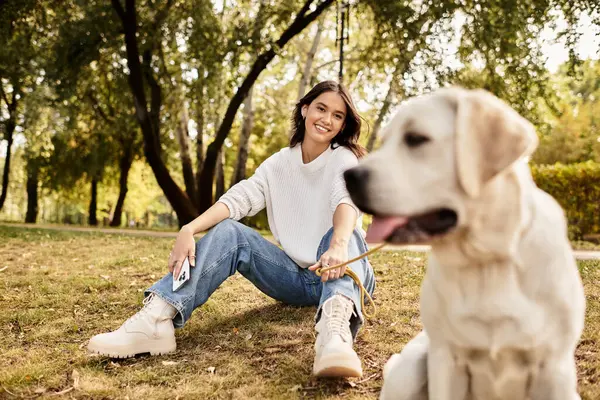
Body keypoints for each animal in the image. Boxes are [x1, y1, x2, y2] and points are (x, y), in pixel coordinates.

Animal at [344, 88, 584, 400]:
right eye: (385, 142)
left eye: (416, 139)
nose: (348, 176)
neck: (486, 261)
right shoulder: (447, 360)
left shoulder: (554, 367)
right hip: (410, 370)